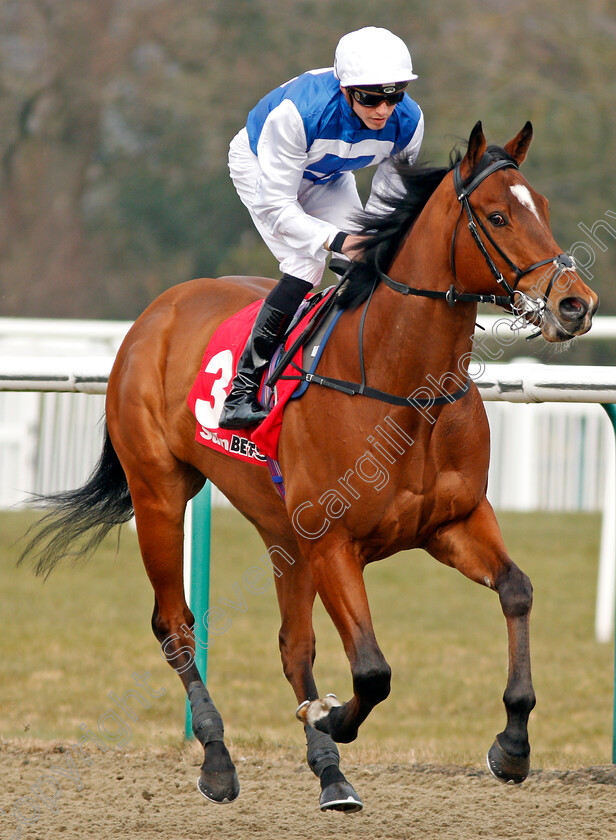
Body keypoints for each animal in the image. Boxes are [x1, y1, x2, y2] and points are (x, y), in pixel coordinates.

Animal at [20, 124, 596, 812]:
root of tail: (158, 311)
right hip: (160, 493)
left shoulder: (452, 522)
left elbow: (517, 590)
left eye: (543, 206)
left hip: (282, 533)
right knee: (175, 625)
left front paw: (511, 745)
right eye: (498, 215)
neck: (404, 388)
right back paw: (218, 759)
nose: (576, 304)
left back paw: (330, 775)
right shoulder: (334, 542)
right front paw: (330, 717)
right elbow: (372, 670)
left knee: (293, 645)